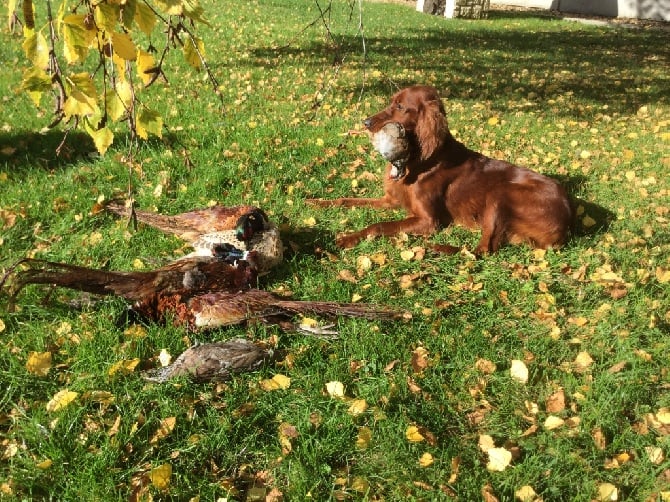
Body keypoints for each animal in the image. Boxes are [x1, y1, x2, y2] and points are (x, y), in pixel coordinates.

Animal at [308, 86, 576, 255]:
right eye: (391, 101)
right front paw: (317, 202)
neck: (421, 163)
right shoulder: (390, 200)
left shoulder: (429, 222)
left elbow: (379, 226)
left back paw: (438, 248)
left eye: (401, 107)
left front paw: (347, 238)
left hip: (500, 195)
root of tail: (568, 217)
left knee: (484, 250)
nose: (366, 123)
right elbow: (346, 200)